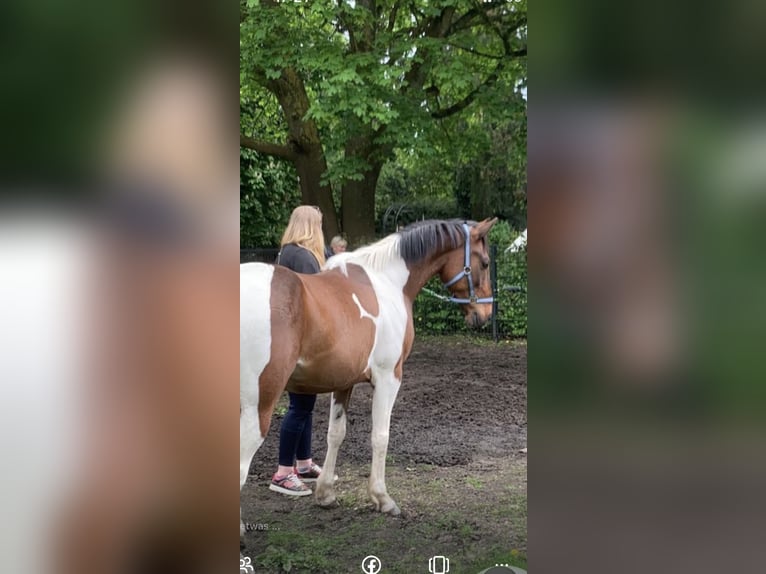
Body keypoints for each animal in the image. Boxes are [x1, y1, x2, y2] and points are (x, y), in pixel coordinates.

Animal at [239, 217, 497, 536]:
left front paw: (325, 493)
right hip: (259, 403)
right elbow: (380, 436)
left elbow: (336, 434)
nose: (485, 314)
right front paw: (382, 498)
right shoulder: (389, 378)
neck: (388, 282)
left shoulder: (343, 382)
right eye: (485, 263)